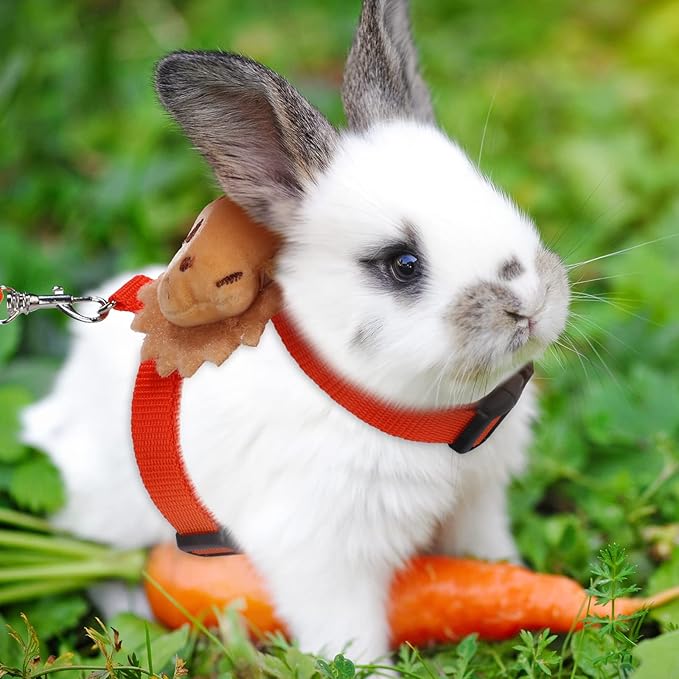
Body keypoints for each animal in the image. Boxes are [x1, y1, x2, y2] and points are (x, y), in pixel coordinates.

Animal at [21, 0, 570, 663]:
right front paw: (374, 673)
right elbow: (348, 634)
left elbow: (489, 561)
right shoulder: (323, 557)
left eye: (495, 198)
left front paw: (516, 584)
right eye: (403, 263)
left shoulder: (478, 504)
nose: (530, 303)